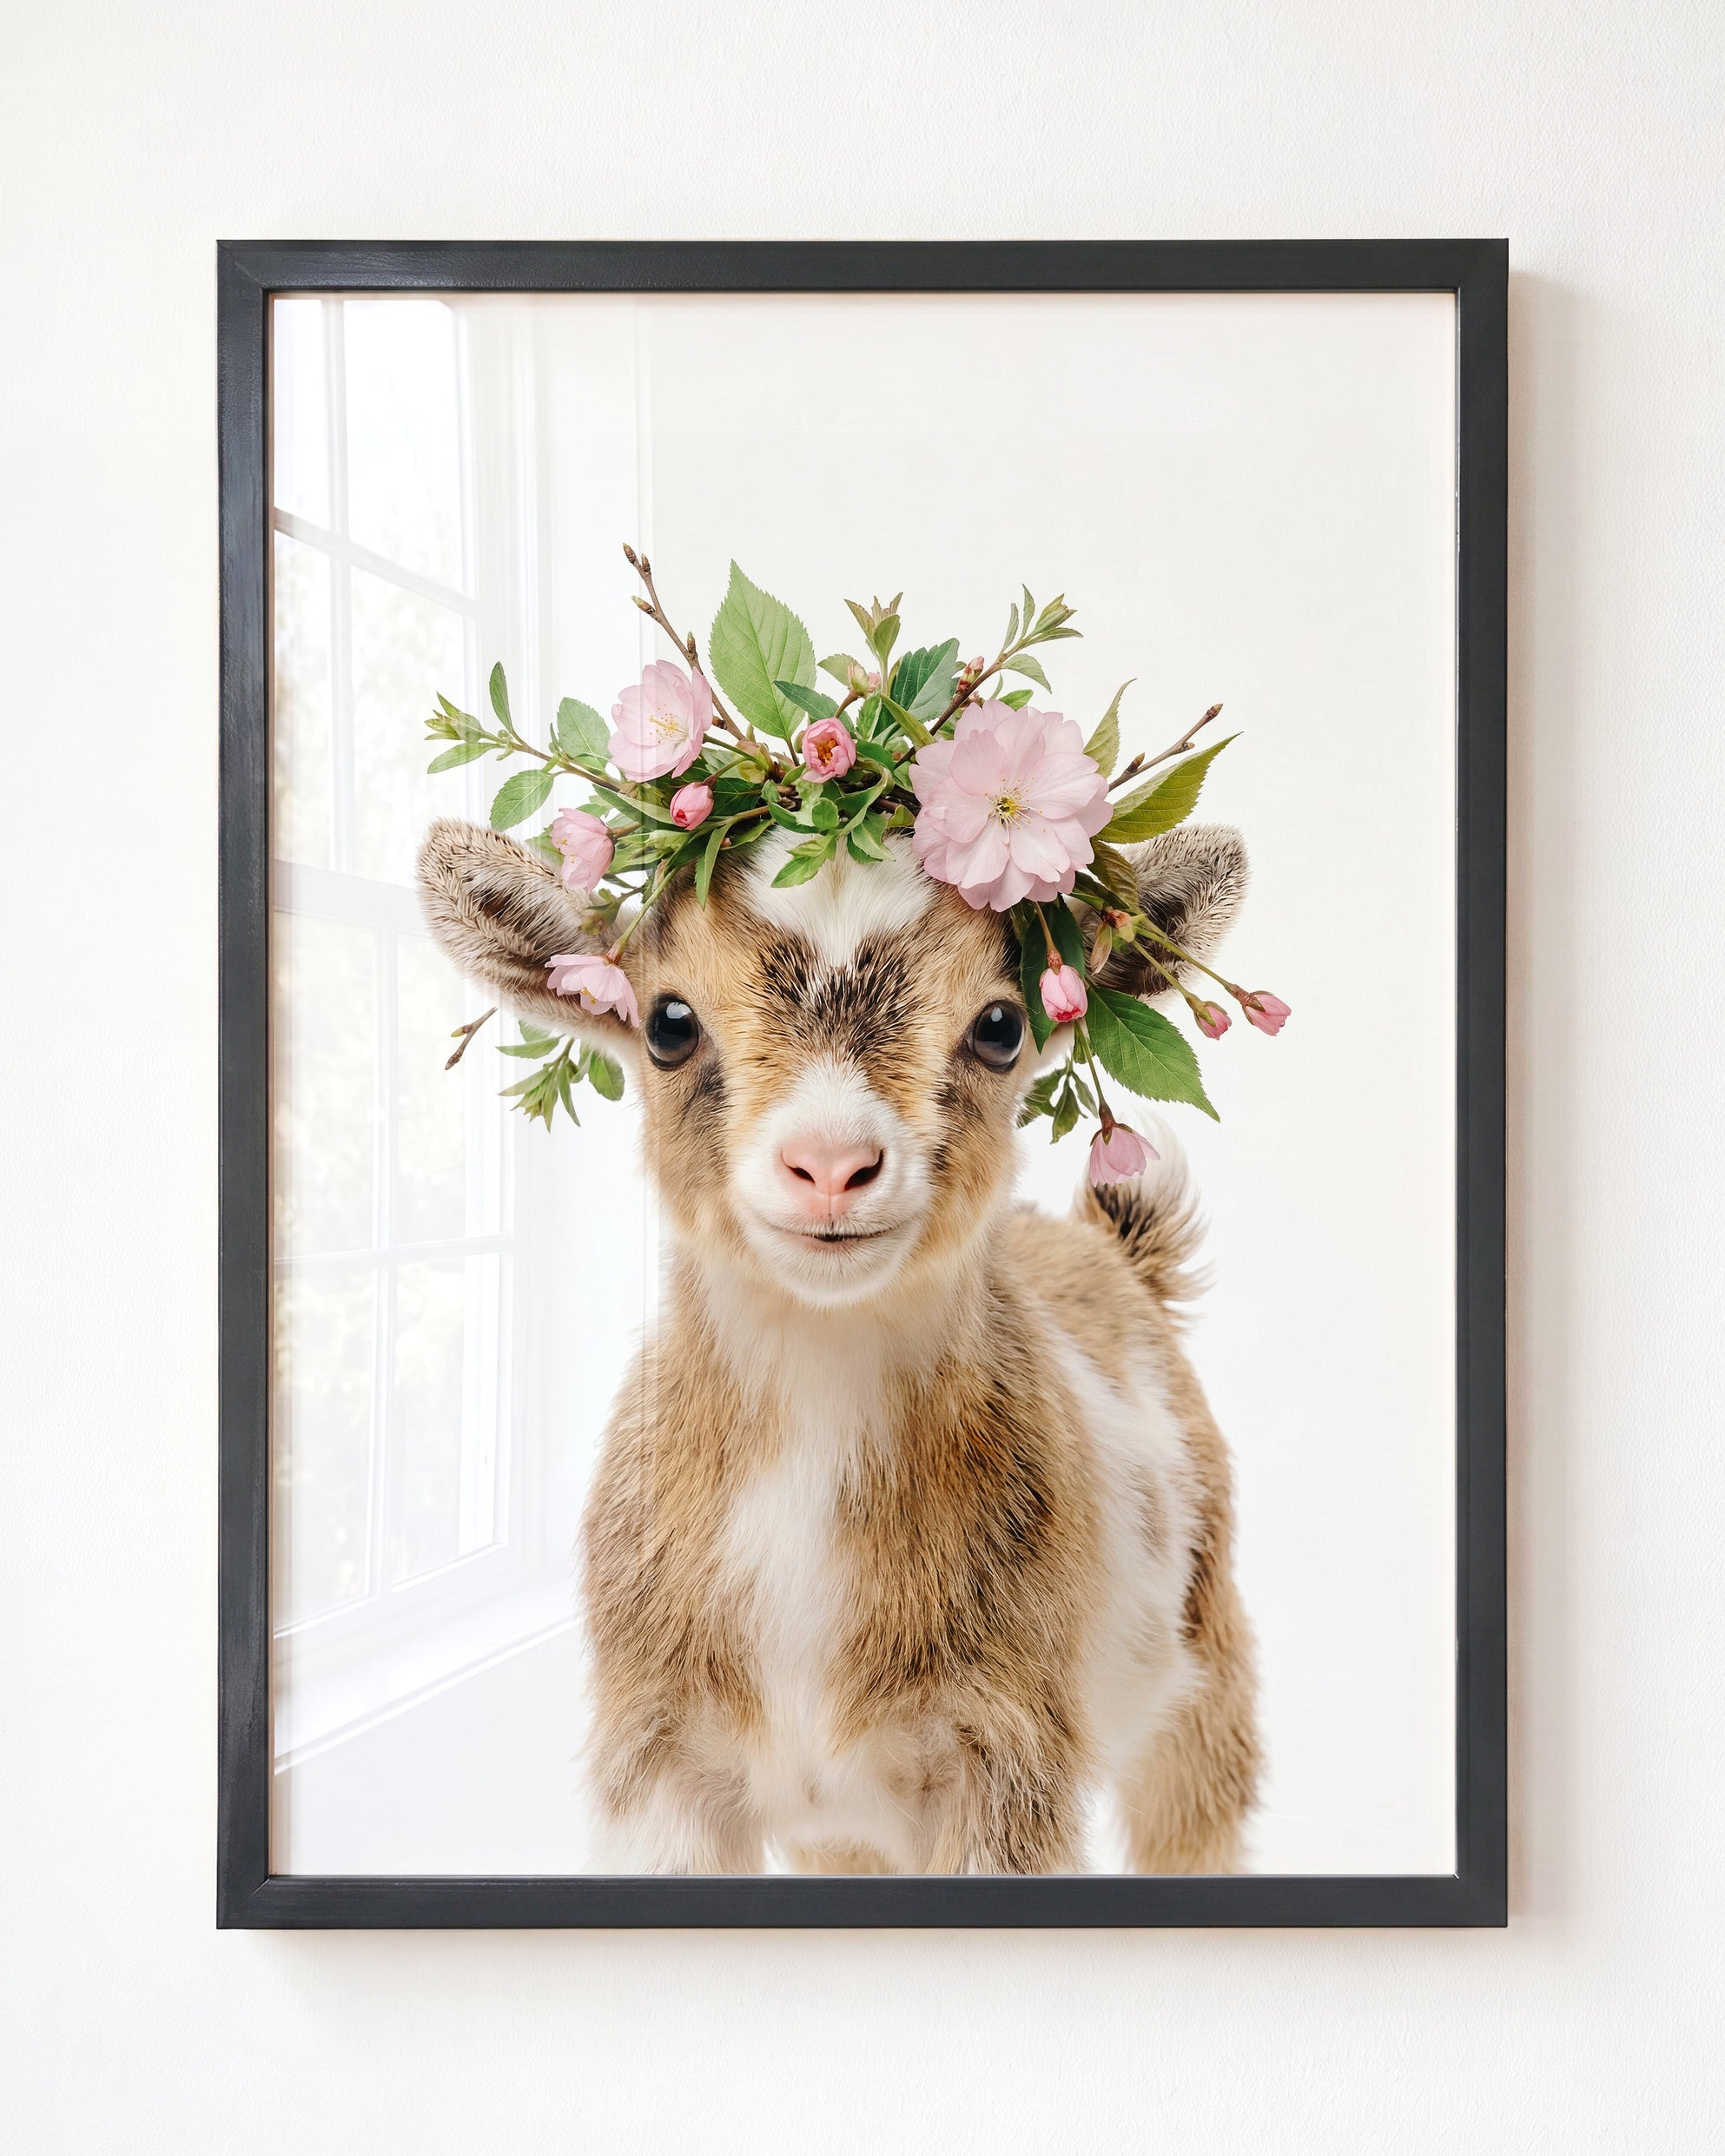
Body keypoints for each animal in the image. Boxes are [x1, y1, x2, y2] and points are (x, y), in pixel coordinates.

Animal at [418, 816, 1260, 1873]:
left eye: (1000, 1026)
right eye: (668, 1024)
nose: (829, 1165)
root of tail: (1113, 1251)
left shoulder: (1007, 1759)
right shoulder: (659, 1762)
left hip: (1208, 1672)